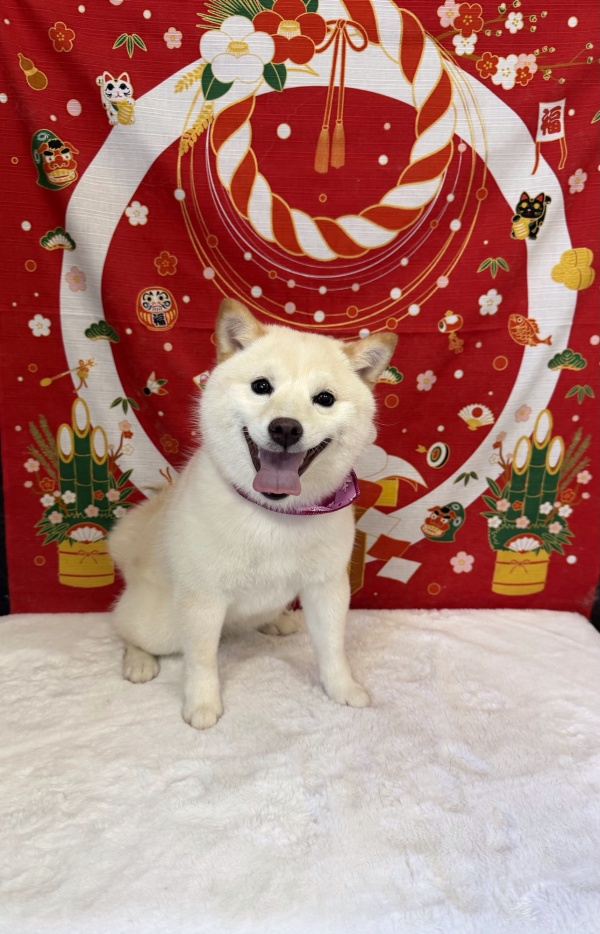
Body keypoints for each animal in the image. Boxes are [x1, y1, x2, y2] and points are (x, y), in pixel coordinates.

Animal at [108, 299, 397, 729]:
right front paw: (202, 703)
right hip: (160, 622)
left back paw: (277, 620)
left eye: (324, 398)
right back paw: (138, 660)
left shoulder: (326, 586)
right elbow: (202, 659)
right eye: (262, 386)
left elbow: (332, 647)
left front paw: (342, 688)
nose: (285, 428)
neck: (274, 514)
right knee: (127, 630)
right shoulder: (203, 595)